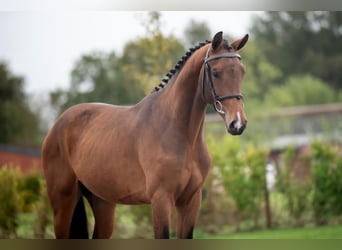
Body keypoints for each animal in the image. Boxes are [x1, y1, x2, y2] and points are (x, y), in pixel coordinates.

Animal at [41, 31, 248, 238]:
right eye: (216, 72)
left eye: (242, 71)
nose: (238, 123)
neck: (180, 134)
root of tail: (57, 125)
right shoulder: (161, 200)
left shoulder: (191, 201)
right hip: (63, 203)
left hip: (102, 203)